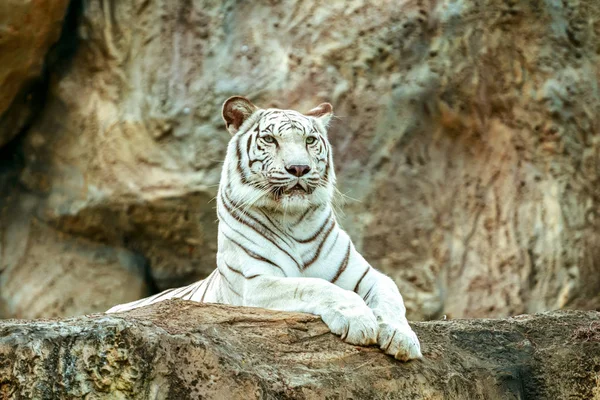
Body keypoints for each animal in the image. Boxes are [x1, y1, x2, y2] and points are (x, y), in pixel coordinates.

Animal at [106, 97, 422, 362]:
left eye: (310, 140)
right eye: (270, 139)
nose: (299, 168)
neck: (294, 220)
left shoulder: (366, 274)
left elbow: (391, 295)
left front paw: (402, 338)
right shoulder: (255, 283)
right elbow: (316, 286)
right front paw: (359, 321)